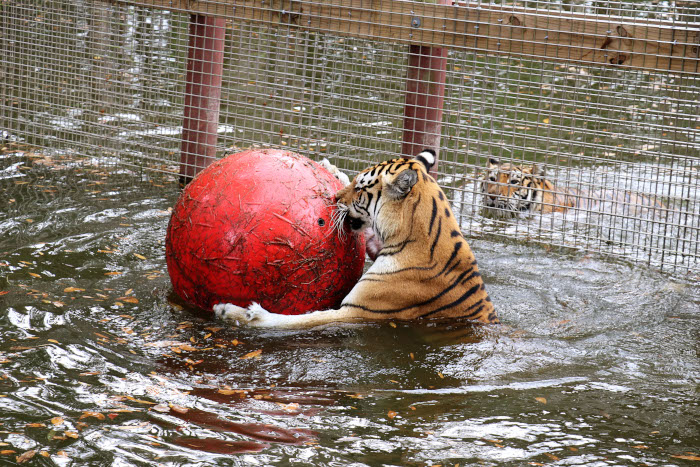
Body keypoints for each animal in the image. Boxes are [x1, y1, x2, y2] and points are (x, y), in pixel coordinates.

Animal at [213, 150, 498, 330]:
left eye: (360, 189)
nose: (335, 197)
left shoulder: (356, 311)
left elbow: (300, 320)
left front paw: (234, 312)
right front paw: (332, 169)